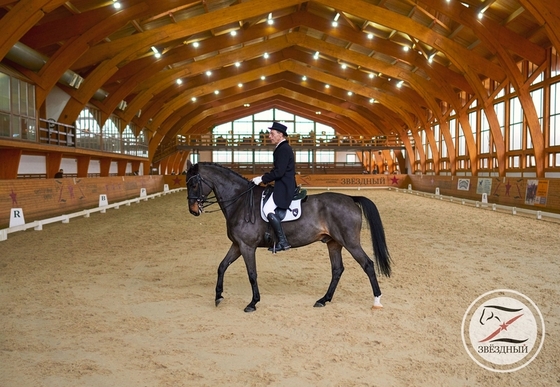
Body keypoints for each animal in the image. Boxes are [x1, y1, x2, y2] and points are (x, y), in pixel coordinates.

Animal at [186, 162, 392, 314]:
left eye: (194, 184)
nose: (193, 211)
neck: (240, 202)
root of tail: (350, 198)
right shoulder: (237, 245)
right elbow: (222, 266)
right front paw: (218, 296)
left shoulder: (247, 246)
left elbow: (252, 274)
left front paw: (253, 303)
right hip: (333, 243)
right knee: (337, 270)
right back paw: (323, 300)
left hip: (350, 242)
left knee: (367, 265)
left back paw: (377, 301)